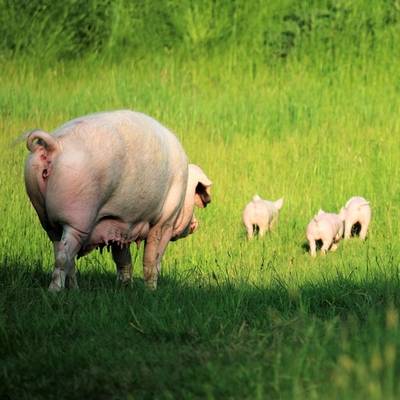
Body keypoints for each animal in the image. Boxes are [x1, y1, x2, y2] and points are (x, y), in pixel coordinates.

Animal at [24, 109, 212, 290]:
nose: (195, 224)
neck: (183, 188)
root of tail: (54, 145)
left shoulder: (118, 224)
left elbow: (123, 260)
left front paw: (125, 289)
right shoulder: (165, 221)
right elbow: (153, 260)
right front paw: (151, 291)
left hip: (44, 215)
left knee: (61, 252)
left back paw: (74, 291)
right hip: (77, 217)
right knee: (64, 257)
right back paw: (55, 292)